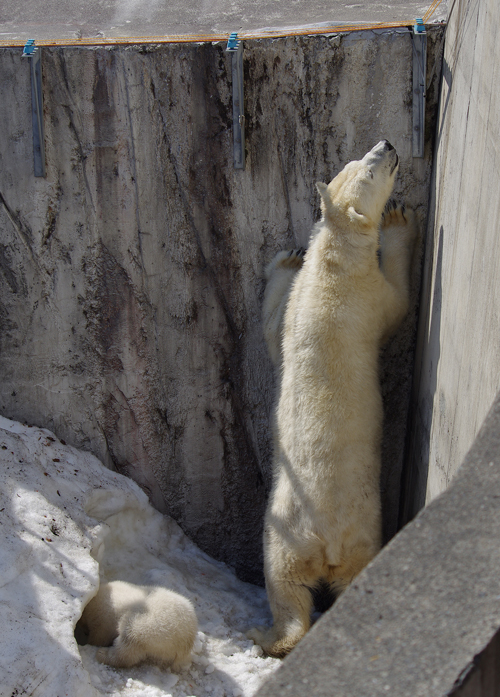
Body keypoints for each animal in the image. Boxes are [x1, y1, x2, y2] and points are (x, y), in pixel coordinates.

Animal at [250, 143, 418, 656]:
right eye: (370, 169)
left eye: (357, 158)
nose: (387, 145)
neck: (333, 262)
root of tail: (325, 542)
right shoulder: (365, 294)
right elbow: (399, 302)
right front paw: (399, 219)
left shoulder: (297, 310)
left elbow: (272, 336)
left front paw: (285, 258)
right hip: (349, 532)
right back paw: (277, 634)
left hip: (283, 534)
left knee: (285, 583)